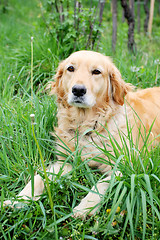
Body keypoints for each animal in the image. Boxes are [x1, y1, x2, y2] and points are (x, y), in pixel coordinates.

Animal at [3, 50, 160, 218]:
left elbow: (103, 183)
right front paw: (19, 199)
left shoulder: (125, 165)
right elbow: (39, 177)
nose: (78, 90)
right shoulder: (65, 161)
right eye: (70, 68)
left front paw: (85, 207)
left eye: (96, 71)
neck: (88, 125)